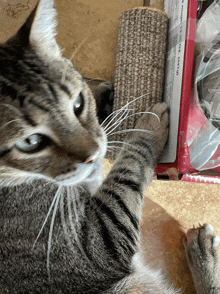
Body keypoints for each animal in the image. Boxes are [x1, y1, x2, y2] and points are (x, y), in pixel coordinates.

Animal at [0, 0, 220, 292]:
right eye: (30, 142)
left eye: (78, 103)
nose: (94, 154)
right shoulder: (100, 241)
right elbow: (130, 165)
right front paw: (147, 125)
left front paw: (105, 99)